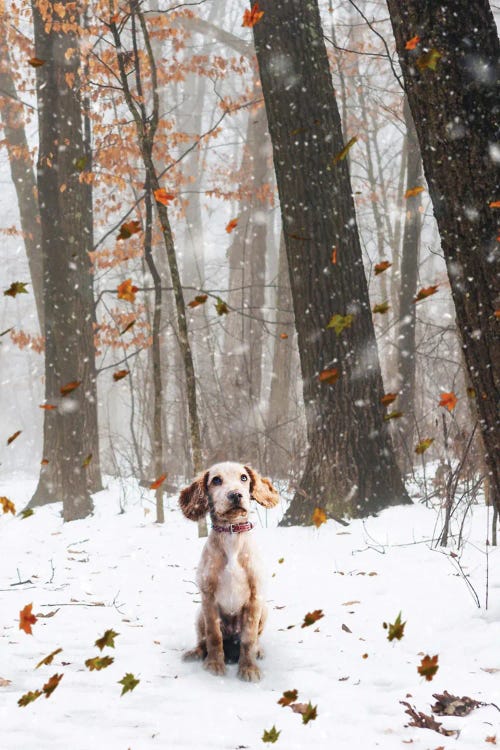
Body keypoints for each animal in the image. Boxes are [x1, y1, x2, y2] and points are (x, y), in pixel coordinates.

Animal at [179, 462, 282, 684]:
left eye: (244, 477)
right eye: (216, 480)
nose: (235, 495)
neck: (232, 535)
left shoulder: (255, 598)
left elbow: (249, 639)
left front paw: (249, 668)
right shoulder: (208, 597)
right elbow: (213, 635)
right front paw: (214, 664)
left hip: (264, 609)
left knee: (255, 638)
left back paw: (258, 651)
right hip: (199, 612)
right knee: (203, 640)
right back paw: (196, 652)